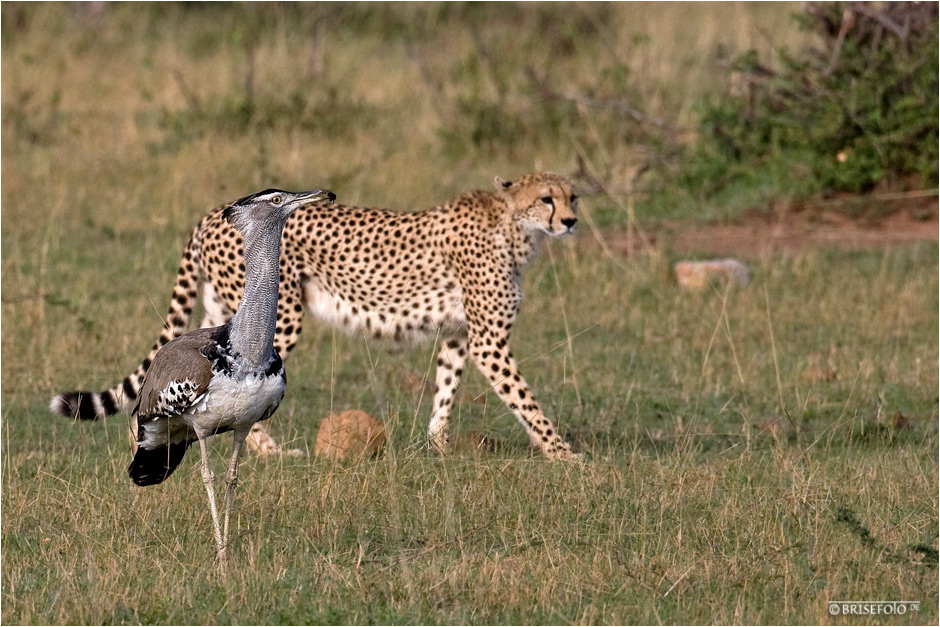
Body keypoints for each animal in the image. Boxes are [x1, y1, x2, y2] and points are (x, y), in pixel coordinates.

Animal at [53, 174, 580, 458]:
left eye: (573, 196)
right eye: (546, 198)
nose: (572, 221)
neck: (514, 226)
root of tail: (210, 214)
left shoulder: (458, 334)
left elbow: (446, 391)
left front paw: (438, 447)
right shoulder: (489, 341)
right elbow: (525, 400)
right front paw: (566, 456)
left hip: (222, 309)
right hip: (279, 314)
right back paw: (271, 453)